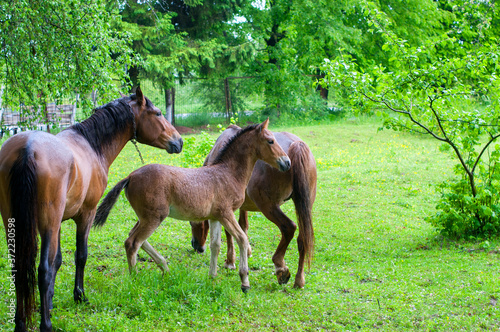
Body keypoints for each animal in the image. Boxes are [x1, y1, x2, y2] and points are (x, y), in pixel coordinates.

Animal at [0, 87, 184, 332]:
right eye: (157, 113)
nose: (179, 141)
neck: (90, 144)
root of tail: (27, 148)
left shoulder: (59, 223)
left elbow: (58, 260)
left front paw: (49, 303)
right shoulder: (84, 215)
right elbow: (80, 256)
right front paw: (79, 296)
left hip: (14, 223)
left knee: (19, 268)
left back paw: (21, 322)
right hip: (47, 224)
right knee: (42, 270)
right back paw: (46, 325)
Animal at [94, 118, 292, 292]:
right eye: (270, 141)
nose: (287, 162)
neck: (228, 173)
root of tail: (130, 176)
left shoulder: (215, 217)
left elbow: (215, 245)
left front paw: (212, 276)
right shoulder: (226, 213)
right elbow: (242, 239)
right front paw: (244, 281)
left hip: (146, 217)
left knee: (136, 239)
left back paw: (165, 267)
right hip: (153, 217)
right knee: (133, 243)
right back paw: (135, 278)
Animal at [189, 124, 314, 288]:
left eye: (191, 223)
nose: (195, 245)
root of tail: (296, 145)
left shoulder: (226, 208)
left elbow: (229, 232)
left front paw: (230, 261)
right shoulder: (240, 206)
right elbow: (243, 226)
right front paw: (246, 252)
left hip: (268, 206)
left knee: (289, 227)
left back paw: (280, 267)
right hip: (304, 206)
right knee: (303, 238)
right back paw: (299, 280)